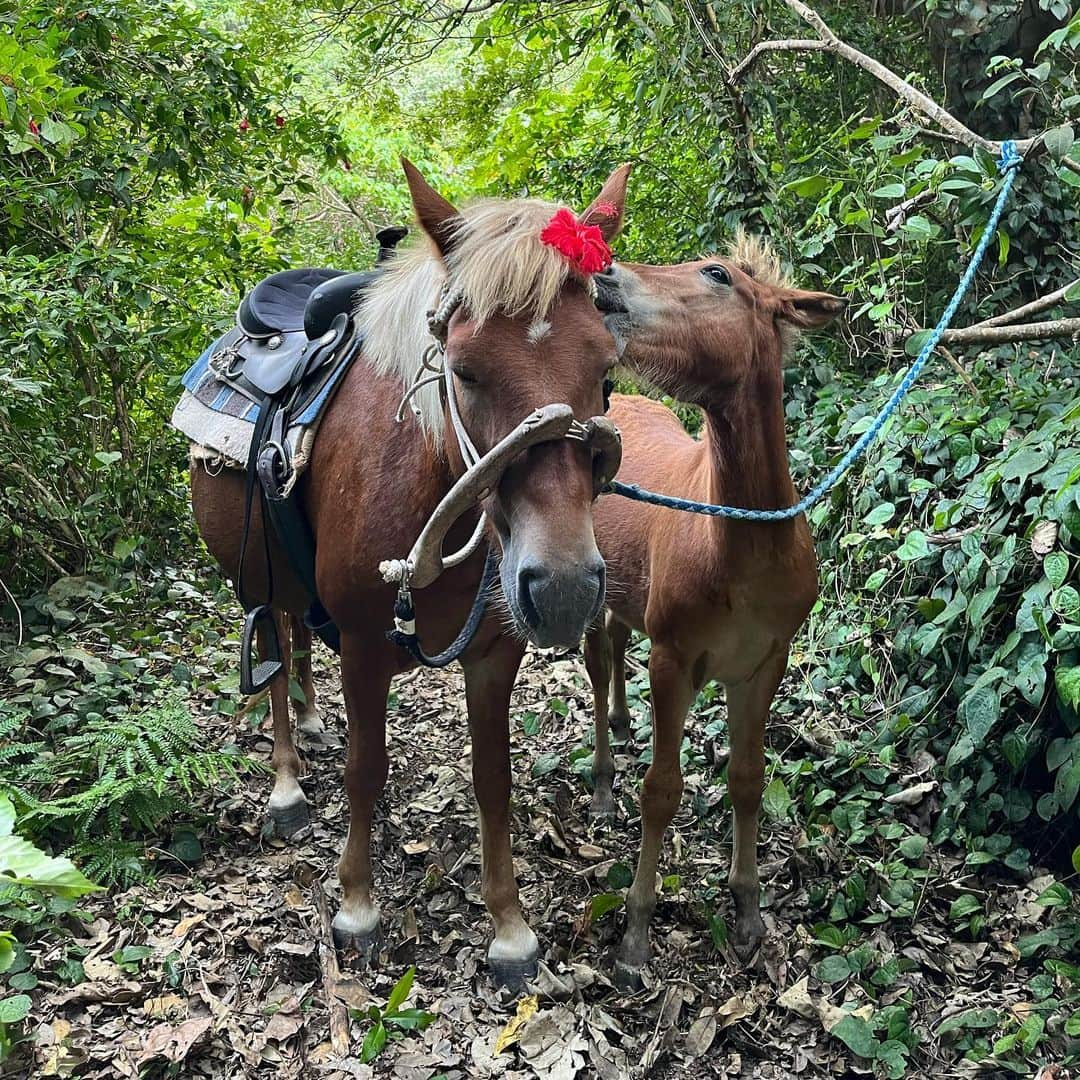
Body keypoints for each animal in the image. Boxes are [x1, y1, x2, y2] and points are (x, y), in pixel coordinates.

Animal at [190, 162, 630, 989]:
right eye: (463, 370)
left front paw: (510, 928)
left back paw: (309, 716)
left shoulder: (495, 651)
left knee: (294, 633)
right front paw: (357, 907)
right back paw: (288, 780)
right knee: (274, 658)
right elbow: (367, 768)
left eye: (606, 370)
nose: (562, 587)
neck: (436, 487)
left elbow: (493, 778)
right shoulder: (365, 646)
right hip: (253, 578)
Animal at [591, 236, 842, 989]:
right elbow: (662, 790)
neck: (742, 549)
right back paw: (603, 780)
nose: (602, 275)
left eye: (716, 275)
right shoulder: (675, 659)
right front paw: (636, 931)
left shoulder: (762, 665)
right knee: (594, 662)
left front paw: (749, 907)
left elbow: (747, 780)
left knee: (613, 646)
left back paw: (622, 721)